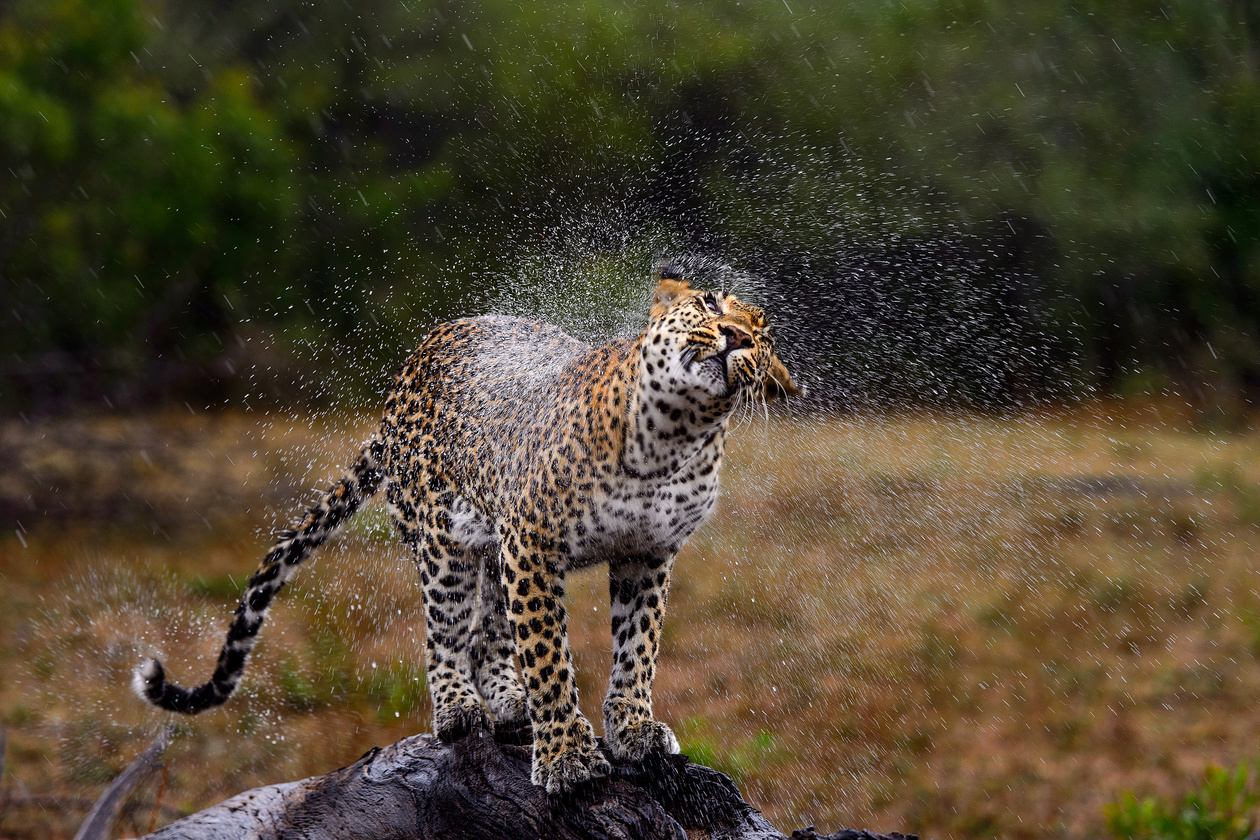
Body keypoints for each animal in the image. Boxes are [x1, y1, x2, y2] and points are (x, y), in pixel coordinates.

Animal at [135, 264, 796, 795]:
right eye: (709, 303)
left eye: (763, 337)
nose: (737, 338)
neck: (672, 435)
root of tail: (408, 368)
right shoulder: (534, 542)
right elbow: (549, 658)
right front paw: (567, 757)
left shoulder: (646, 554)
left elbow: (638, 650)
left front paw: (633, 730)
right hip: (444, 544)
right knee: (447, 635)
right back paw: (459, 707)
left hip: (497, 550)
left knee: (491, 632)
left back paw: (506, 698)